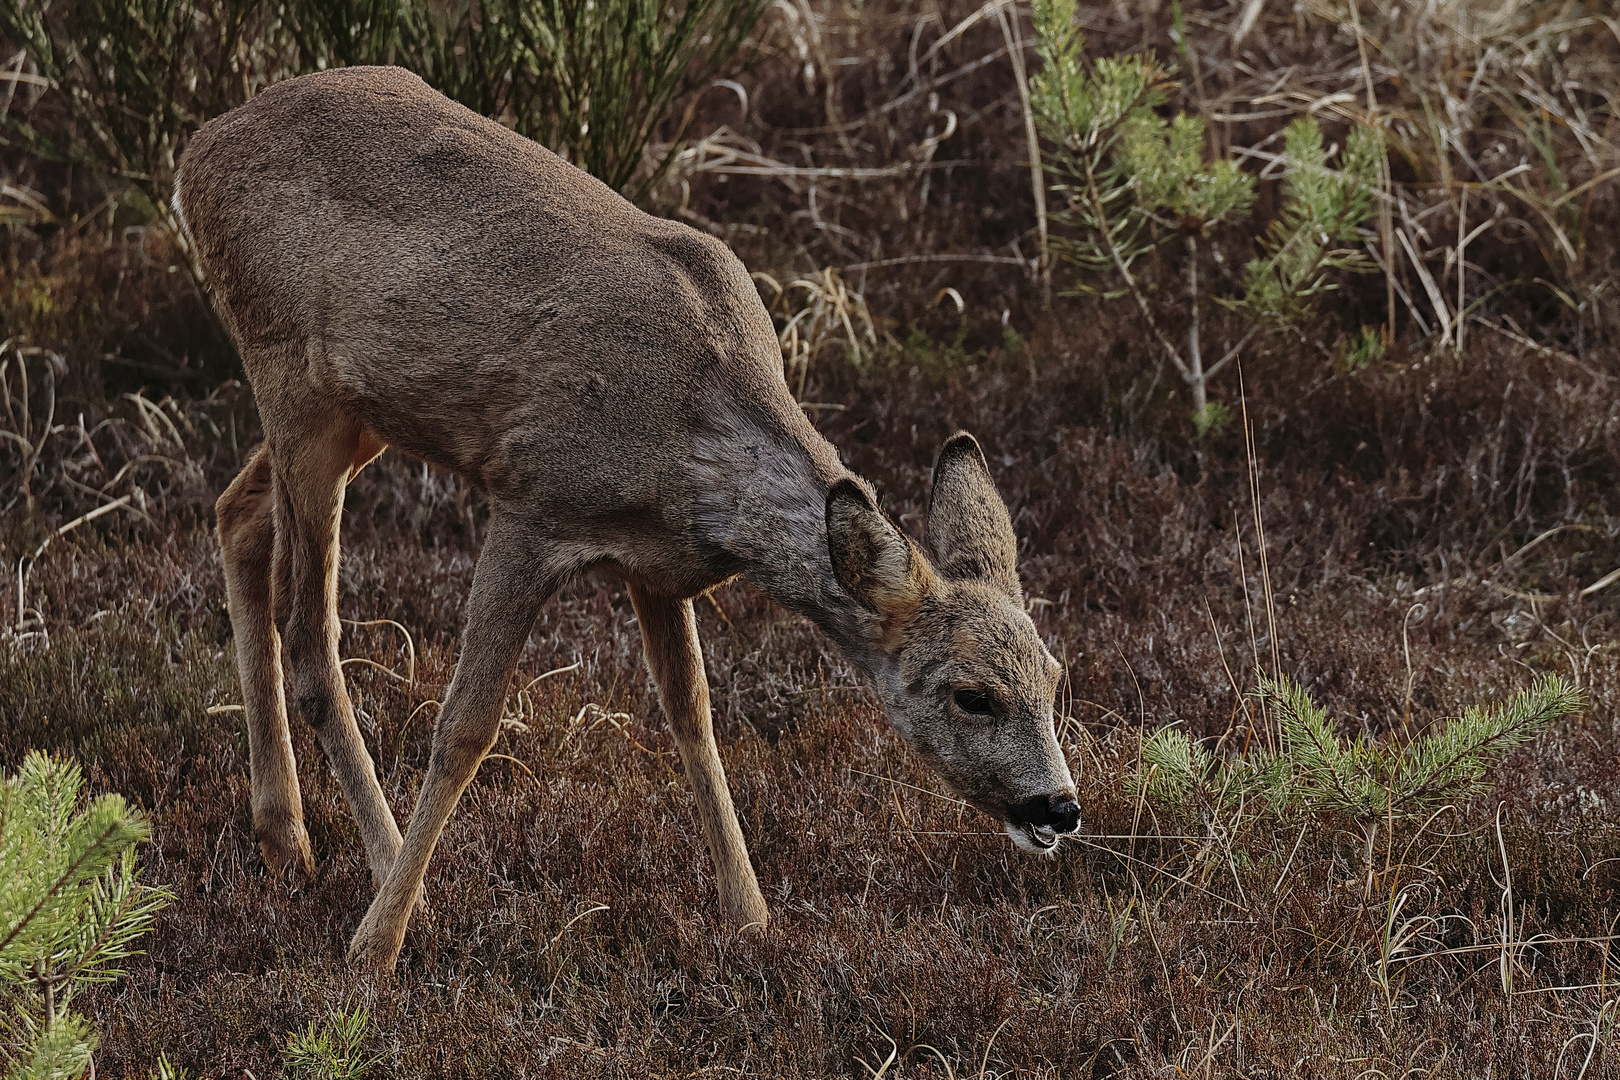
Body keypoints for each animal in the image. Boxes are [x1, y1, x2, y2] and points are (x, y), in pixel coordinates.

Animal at [177, 69, 1075, 977]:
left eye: (1055, 676)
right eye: (972, 696)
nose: (1060, 806)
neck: (696, 437)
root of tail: (197, 150)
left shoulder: (660, 566)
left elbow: (693, 715)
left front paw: (750, 917)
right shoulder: (531, 504)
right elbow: (465, 728)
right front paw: (378, 943)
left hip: (359, 416)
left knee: (235, 514)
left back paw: (284, 839)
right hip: (292, 377)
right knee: (308, 633)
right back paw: (386, 879)